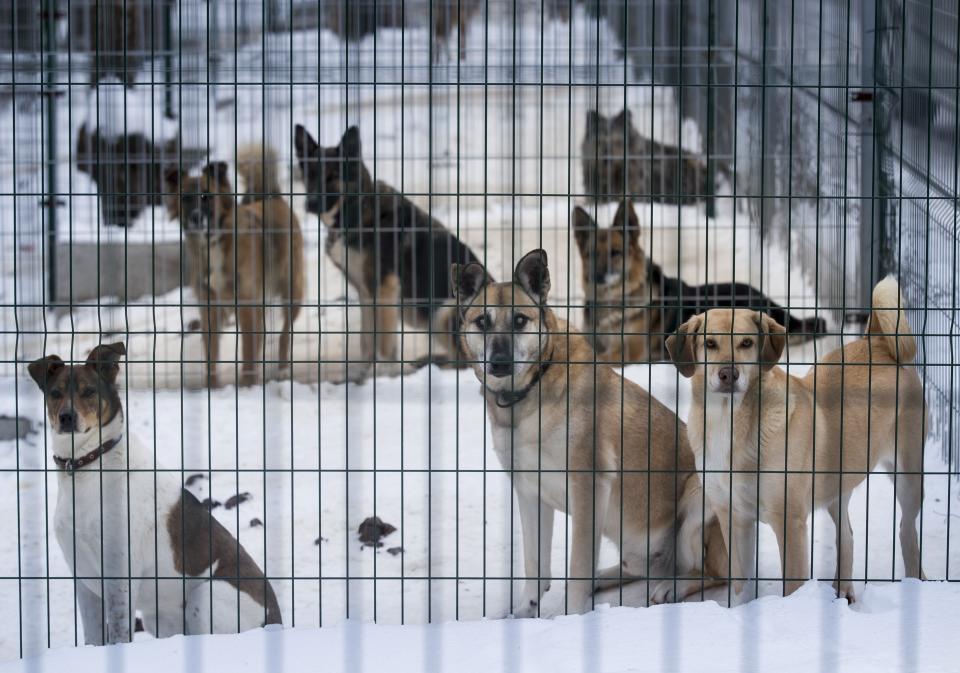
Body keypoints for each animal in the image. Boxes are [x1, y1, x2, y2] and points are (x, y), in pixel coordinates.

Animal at [27, 344, 282, 644]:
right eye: (55, 393)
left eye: (89, 391)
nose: (67, 418)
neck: (88, 465)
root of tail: (276, 621)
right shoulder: (84, 579)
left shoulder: (120, 575)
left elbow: (119, 634)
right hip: (159, 619)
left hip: (205, 595)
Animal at [454, 249, 724, 616]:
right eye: (482, 321)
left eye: (520, 320)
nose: (499, 362)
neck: (531, 391)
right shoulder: (529, 491)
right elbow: (535, 565)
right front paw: (526, 612)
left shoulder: (589, 486)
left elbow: (578, 565)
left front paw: (570, 617)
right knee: (637, 567)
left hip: (700, 492)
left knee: (713, 572)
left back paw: (672, 587)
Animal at [664, 276, 928, 600]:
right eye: (709, 343)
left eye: (746, 343)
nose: (728, 374)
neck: (731, 423)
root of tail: (877, 342)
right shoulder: (733, 518)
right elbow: (740, 585)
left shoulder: (789, 521)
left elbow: (792, 585)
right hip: (835, 486)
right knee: (848, 536)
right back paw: (843, 590)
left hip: (908, 475)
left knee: (906, 529)